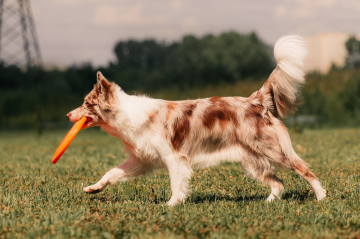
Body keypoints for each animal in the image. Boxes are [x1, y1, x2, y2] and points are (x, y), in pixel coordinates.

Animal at [67, 35, 326, 205]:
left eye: (87, 103)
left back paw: (321, 196)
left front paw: (172, 205)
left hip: (272, 150)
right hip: (252, 160)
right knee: (278, 183)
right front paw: (93, 188)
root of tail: (256, 99)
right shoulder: (140, 160)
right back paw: (269, 202)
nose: (68, 115)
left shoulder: (174, 157)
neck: (127, 116)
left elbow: (176, 183)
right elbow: (111, 173)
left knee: (303, 170)